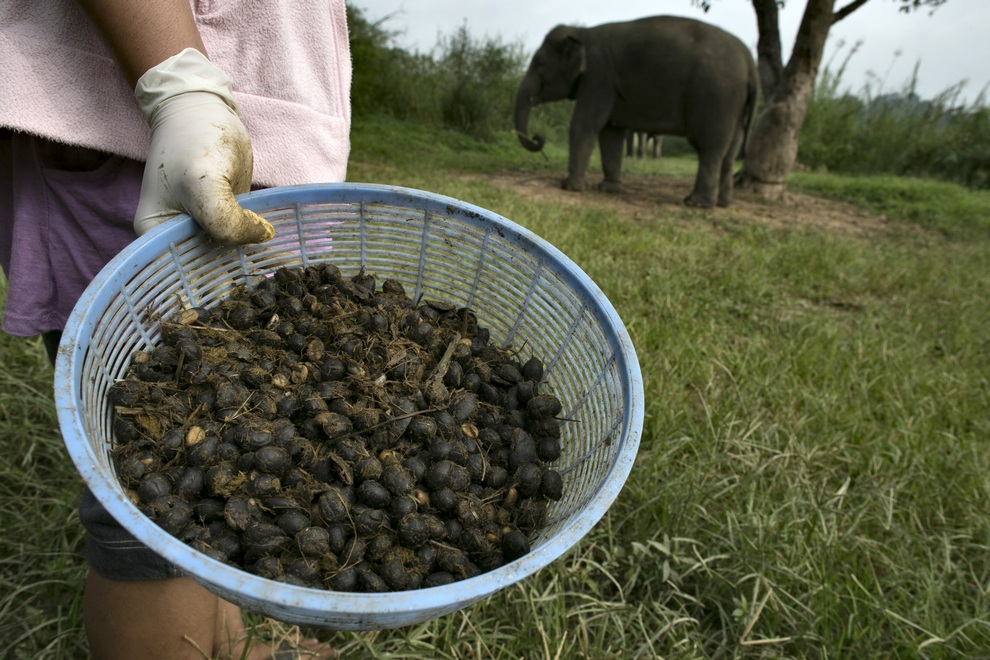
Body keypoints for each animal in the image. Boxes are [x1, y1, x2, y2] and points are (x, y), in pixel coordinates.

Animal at [520, 15, 760, 208]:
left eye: (539, 64)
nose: (537, 137)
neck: (582, 32)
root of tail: (750, 63)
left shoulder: (599, 77)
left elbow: (585, 124)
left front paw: (569, 187)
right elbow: (611, 132)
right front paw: (607, 189)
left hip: (717, 95)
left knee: (710, 148)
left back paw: (697, 203)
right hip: (735, 105)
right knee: (729, 152)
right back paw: (723, 203)